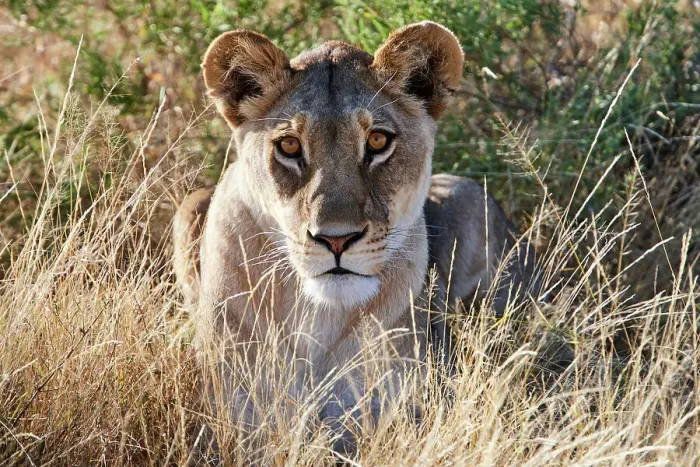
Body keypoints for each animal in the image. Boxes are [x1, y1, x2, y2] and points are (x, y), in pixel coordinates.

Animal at [173, 21, 540, 455]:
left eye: (378, 141)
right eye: (289, 145)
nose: (336, 240)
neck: (317, 319)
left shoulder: (399, 414)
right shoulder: (234, 419)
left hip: (471, 197)